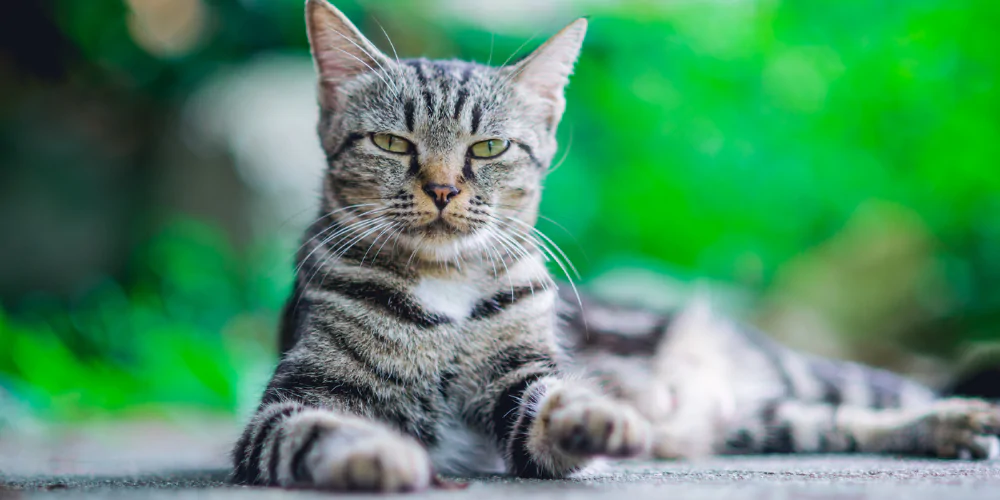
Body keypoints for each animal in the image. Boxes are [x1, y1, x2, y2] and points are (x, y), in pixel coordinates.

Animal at [230, 0, 1000, 492]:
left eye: (489, 147)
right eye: (393, 143)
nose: (444, 189)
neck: (445, 284)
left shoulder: (521, 376)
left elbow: (549, 402)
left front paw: (592, 415)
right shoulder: (289, 404)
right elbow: (319, 428)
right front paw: (375, 454)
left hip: (798, 377)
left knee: (866, 399)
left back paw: (952, 419)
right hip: (763, 420)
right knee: (826, 425)